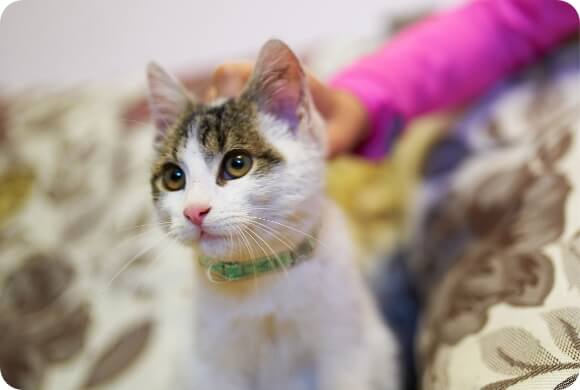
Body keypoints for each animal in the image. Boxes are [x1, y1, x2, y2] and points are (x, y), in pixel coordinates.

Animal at [146, 38, 398, 388]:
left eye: (237, 164)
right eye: (174, 177)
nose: (194, 211)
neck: (261, 275)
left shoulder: (346, 344)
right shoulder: (210, 362)